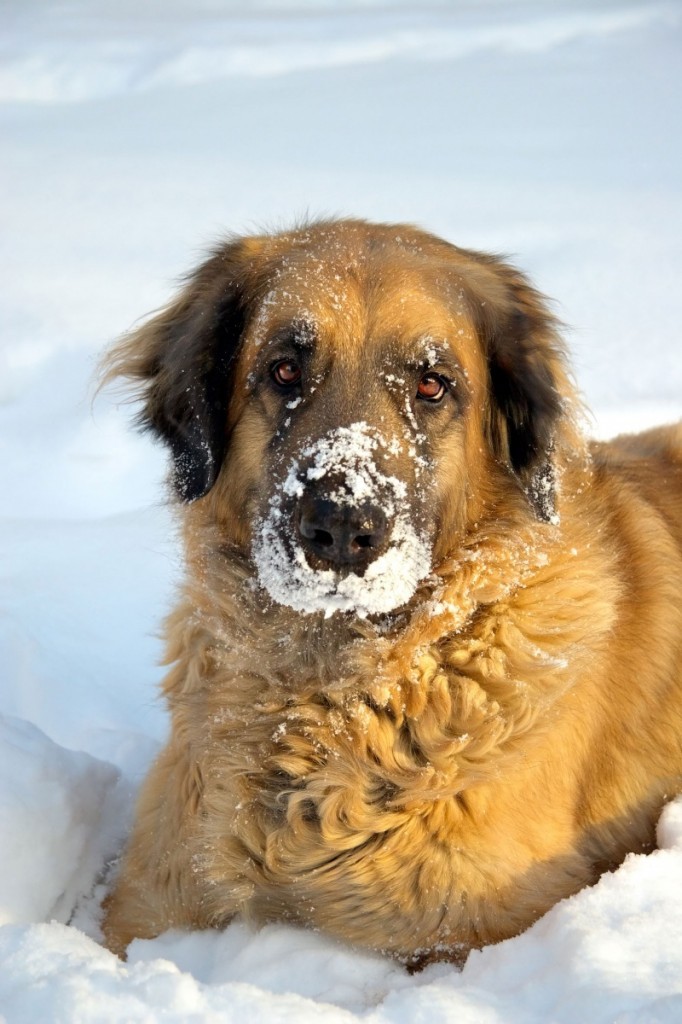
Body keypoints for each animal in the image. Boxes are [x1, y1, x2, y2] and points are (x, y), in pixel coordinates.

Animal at [100, 220, 679, 962]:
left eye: (432, 385)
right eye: (285, 371)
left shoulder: (478, 925)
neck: (324, 697)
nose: (342, 526)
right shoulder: (146, 903)